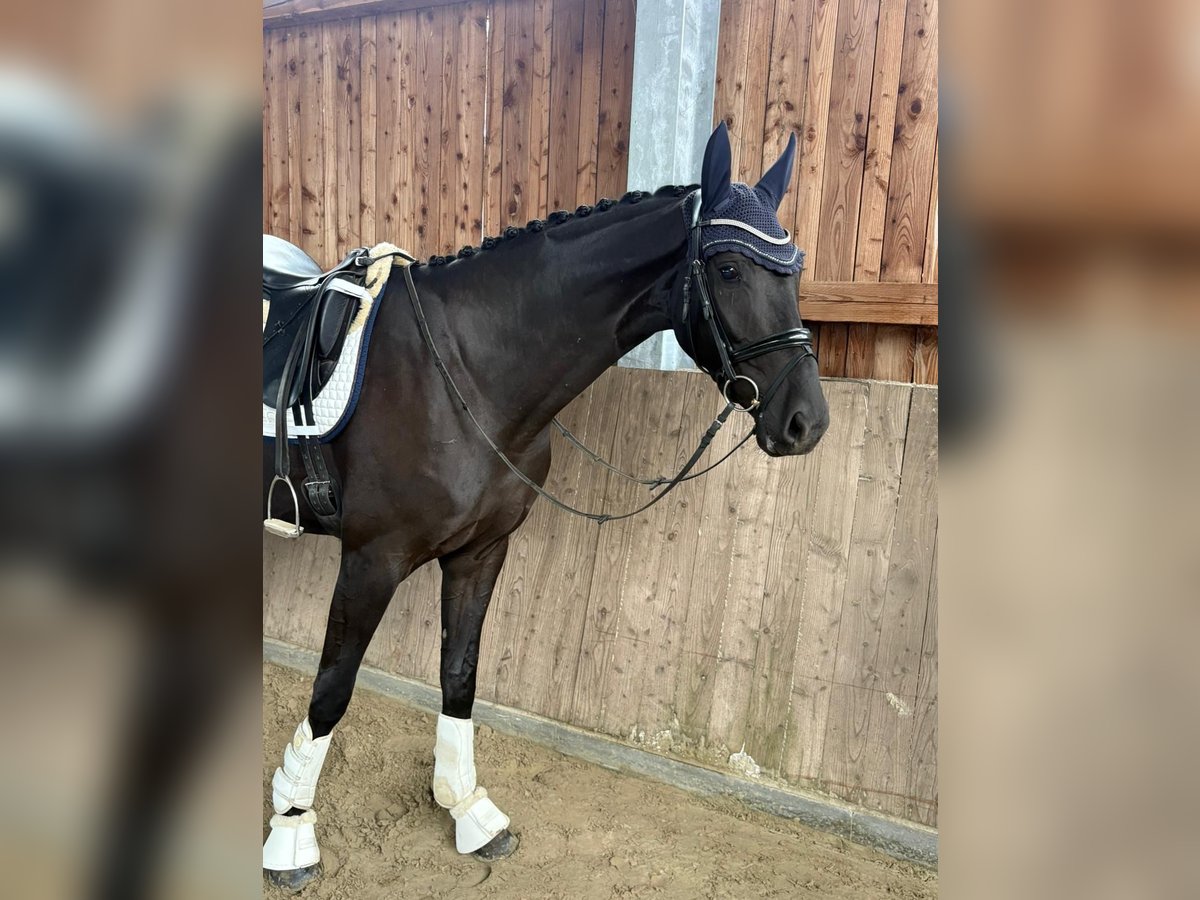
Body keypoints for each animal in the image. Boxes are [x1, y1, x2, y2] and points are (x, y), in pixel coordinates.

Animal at [262, 122, 830, 889]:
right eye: (730, 269)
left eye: (792, 269)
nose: (806, 421)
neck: (464, 370)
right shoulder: (371, 560)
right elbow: (332, 688)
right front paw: (292, 832)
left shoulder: (480, 552)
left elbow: (460, 674)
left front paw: (468, 810)